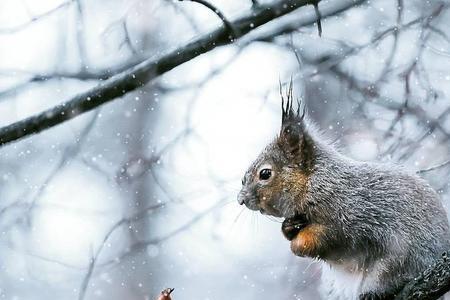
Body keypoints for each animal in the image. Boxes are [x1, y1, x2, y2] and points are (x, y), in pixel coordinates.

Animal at [237, 85, 450, 298]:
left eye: (265, 173)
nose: (241, 199)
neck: (316, 184)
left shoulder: (351, 217)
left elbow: (330, 238)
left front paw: (298, 244)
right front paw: (288, 227)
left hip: (396, 262)